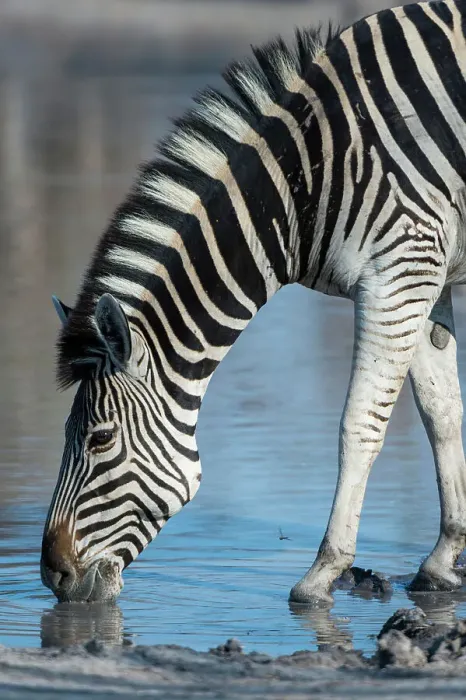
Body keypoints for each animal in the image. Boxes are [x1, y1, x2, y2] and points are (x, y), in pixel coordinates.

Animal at [41, 0, 466, 605]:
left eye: (100, 439)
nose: (52, 575)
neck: (306, 181)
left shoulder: (399, 269)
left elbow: (359, 424)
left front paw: (322, 573)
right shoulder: (426, 275)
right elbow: (442, 412)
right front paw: (442, 559)